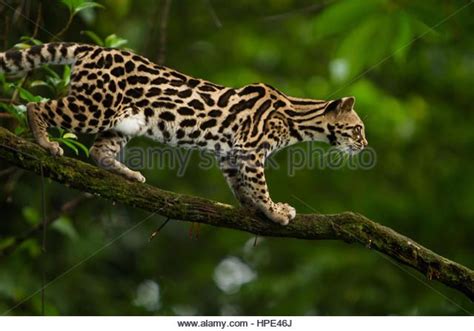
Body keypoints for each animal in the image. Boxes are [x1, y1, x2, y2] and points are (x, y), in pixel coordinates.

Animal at [0, 42, 368, 226]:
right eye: (358, 128)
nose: (365, 144)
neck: (296, 116)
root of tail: (94, 49)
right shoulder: (250, 150)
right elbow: (260, 185)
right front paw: (274, 210)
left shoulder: (231, 153)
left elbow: (242, 186)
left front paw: (255, 207)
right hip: (95, 106)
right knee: (37, 106)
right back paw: (45, 141)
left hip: (125, 120)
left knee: (99, 151)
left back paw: (127, 174)